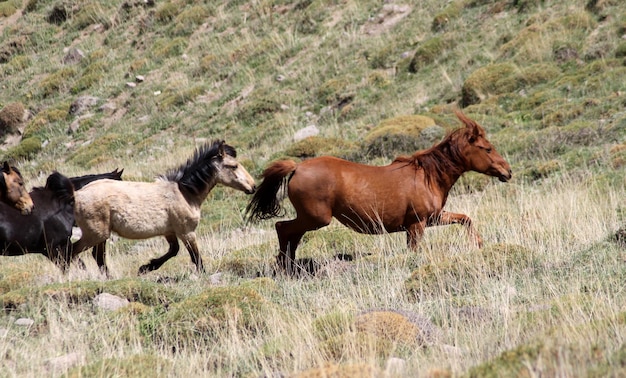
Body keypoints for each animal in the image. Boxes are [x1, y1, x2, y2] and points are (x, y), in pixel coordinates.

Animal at [72, 140, 256, 276]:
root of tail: (77, 195)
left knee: (97, 257)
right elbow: (196, 257)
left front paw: (146, 267)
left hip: (101, 236)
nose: (253, 187)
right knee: (72, 252)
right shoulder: (187, 232)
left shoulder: (169, 232)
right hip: (95, 234)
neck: (184, 193)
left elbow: (174, 250)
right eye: (234, 166)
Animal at [245, 110, 512, 274]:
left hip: (310, 219)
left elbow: (465, 218)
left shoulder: (433, 218)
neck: (428, 176)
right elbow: (415, 250)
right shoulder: (416, 225)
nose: (508, 171)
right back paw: (285, 268)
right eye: (487, 148)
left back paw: (289, 267)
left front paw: (478, 243)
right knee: (283, 228)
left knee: (291, 234)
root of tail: (297, 167)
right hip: (316, 219)